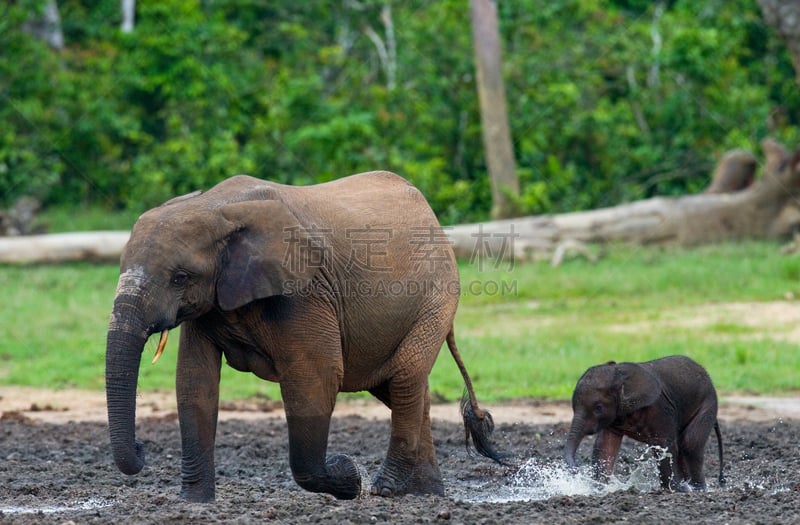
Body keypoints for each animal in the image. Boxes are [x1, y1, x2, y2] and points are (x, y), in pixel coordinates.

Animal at [103, 171, 504, 500]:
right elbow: (194, 383)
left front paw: (349, 476)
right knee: (405, 387)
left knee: (405, 376)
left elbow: (316, 378)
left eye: (180, 278)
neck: (215, 208)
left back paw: (384, 488)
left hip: (437, 295)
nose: (141, 448)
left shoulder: (304, 291)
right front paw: (194, 503)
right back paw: (423, 494)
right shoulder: (211, 302)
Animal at [564, 354, 724, 490]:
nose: (576, 470)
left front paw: (676, 490)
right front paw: (599, 489)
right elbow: (605, 446)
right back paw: (689, 485)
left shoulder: (659, 409)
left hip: (708, 402)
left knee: (690, 444)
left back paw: (698, 489)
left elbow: (663, 445)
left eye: (598, 408)